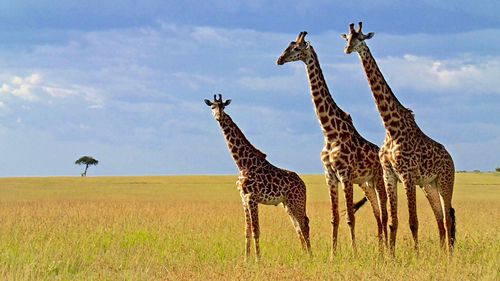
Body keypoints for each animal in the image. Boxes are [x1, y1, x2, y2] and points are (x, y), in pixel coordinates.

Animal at [205, 93, 310, 260]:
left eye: (223, 106)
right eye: (212, 106)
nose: (218, 116)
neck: (242, 164)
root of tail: (303, 184)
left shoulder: (252, 198)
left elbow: (256, 230)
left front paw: (258, 260)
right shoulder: (243, 199)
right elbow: (247, 231)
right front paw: (246, 260)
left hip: (296, 201)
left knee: (304, 225)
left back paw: (310, 256)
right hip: (287, 203)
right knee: (298, 226)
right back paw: (304, 255)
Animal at [276, 31, 388, 256]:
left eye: (296, 48)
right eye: (287, 46)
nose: (279, 59)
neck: (329, 132)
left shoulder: (344, 175)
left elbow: (350, 217)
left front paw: (354, 253)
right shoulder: (330, 176)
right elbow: (334, 218)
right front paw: (332, 255)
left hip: (378, 178)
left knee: (384, 212)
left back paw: (386, 251)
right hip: (365, 183)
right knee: (377, 214)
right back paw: (381, 251)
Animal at [342, 22, 456, 254]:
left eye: (360, 38)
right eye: (347, 37)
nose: (348, 49)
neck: (391, 126)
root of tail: (451, 159)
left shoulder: (407, 175)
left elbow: (413, 221)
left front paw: (416, 255)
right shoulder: (389, 174)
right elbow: (393, 222)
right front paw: (390, 255)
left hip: (445, 180)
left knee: (447, 218)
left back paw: (449, 256)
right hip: (430, 185)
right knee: (439, 218)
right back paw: (442, 254)